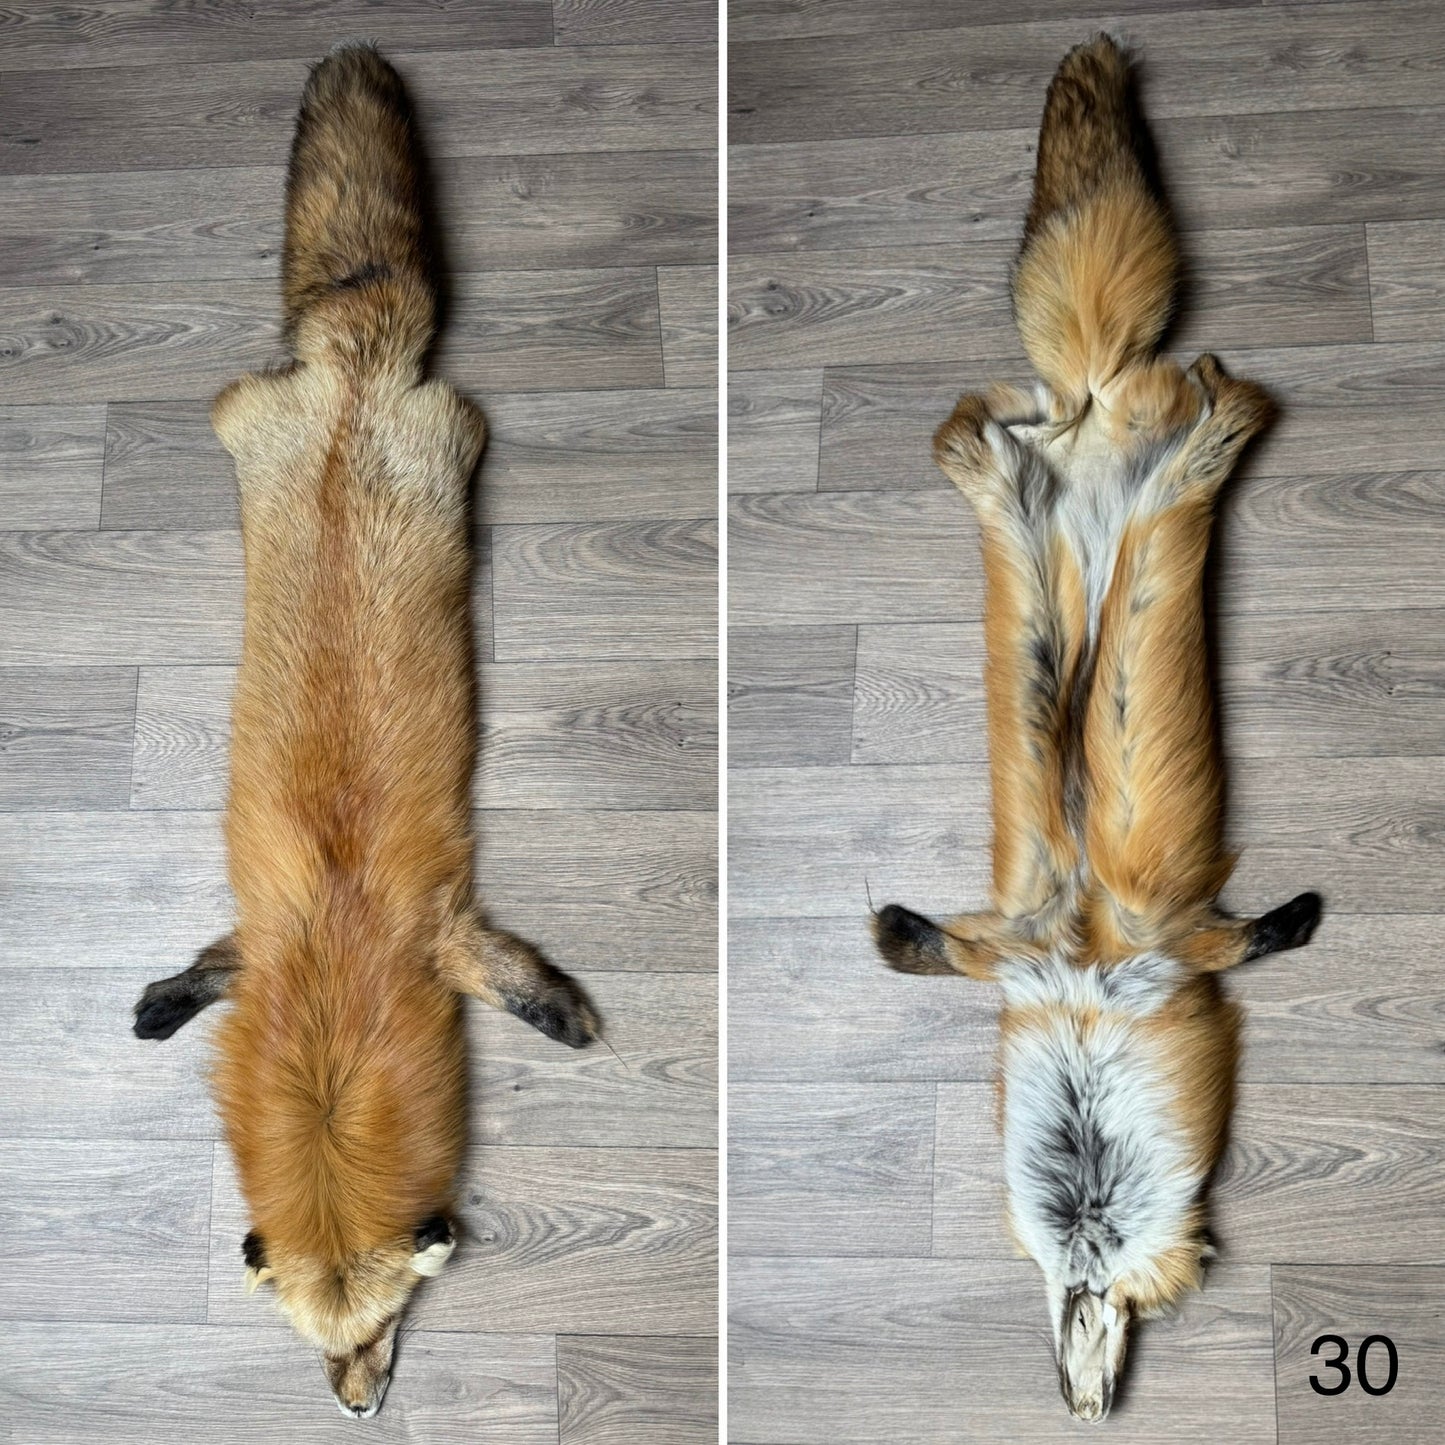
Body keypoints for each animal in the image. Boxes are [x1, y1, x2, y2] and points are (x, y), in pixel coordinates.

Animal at [131, 43, 599, 1418]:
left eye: (388, 1328)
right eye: (315, 1340)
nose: (357, 1409)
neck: (336, 988)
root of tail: (350, 374)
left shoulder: (438, 934)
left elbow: (514, 977)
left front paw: (565, 1017)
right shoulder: (267, 937)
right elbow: (208, 965)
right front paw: (164, 1004)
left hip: (449, 429)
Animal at [870, 36, 1321, 1421]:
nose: (1082, 1401)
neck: (1079, 981)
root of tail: (1086, 428)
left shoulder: (1165, 944)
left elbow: (1246, 936)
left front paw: (1299, 919)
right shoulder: (1019, 945)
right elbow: (928, 946)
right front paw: (891, 932)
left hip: (1141, 565)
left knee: (1194, 439)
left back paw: (1218, 409)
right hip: (1034, 578)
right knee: (993, 443)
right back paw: (1004, 439)